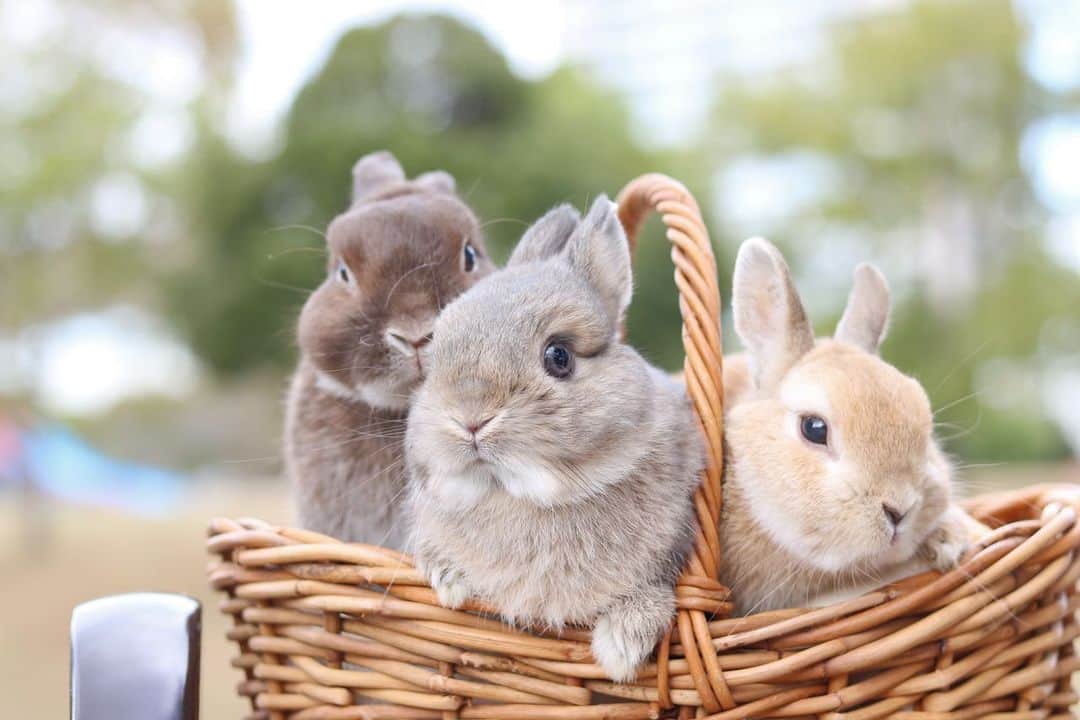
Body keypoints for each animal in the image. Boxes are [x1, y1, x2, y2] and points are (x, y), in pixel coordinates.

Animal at [405, 196, 705, 682]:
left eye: (558, 356)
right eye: (434, 358)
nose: (469, 419)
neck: (524, 494)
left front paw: (620, 650)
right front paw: (447, 581)